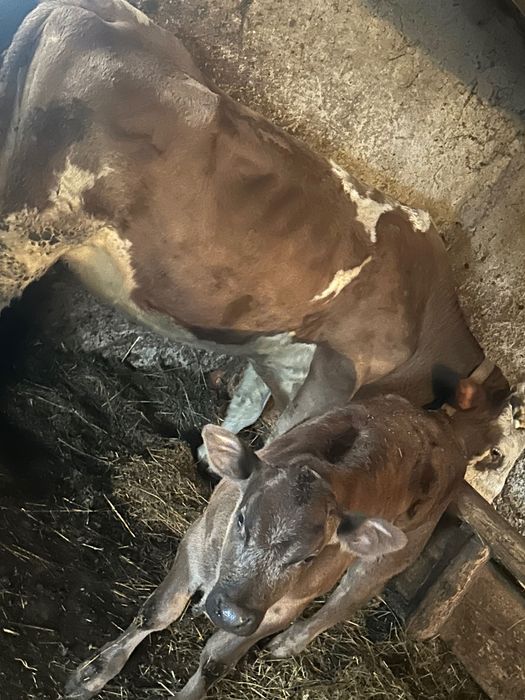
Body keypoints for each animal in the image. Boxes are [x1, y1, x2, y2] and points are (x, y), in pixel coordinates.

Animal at [1, 0, 523, 477]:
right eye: (497, 456)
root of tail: (95, 10)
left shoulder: (273, 351)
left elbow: (249, 405)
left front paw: (212, 460)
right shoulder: (340, 370)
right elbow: (289, 437)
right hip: (33, 227)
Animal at [65, 377, 509, 699]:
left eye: (308, 558)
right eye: (241, 520)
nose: (230, 614)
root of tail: (443, 427)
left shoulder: (282, 606)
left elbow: (215, 662)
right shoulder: (195, 541)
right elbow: (156, 613)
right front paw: (91, 675)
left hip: (391, 558)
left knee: (342, 604)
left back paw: (287, 644)